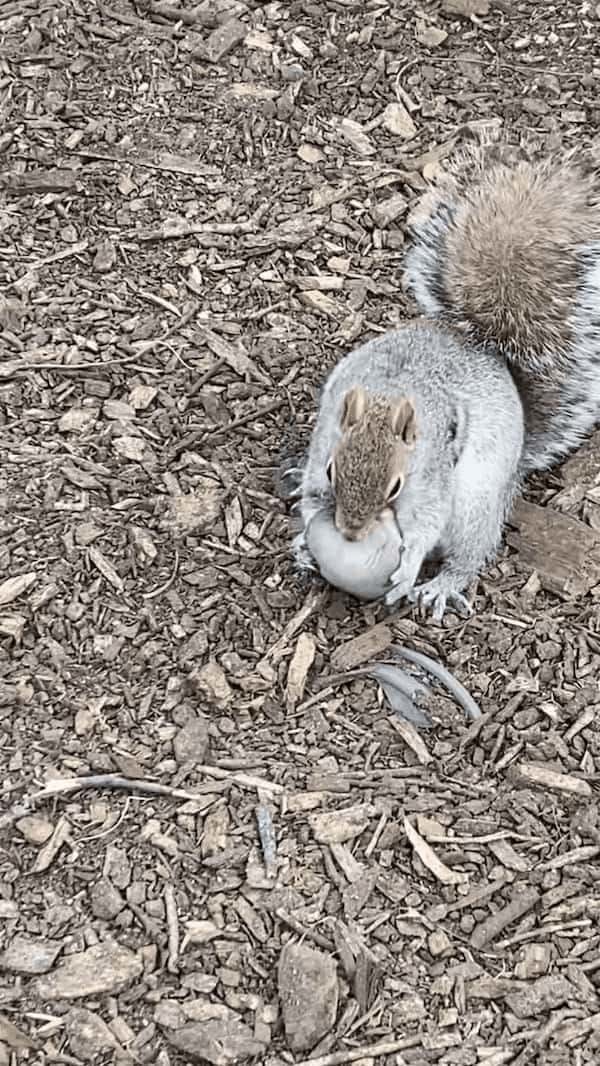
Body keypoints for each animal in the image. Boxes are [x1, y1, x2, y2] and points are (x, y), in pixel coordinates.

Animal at [298, 138, 600, 622]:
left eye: (396, 486)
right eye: (331, 468)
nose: (350, 532)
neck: (388, 393)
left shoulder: (433, 473)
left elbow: (426, 522)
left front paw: (408, 569)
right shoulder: (325, 435)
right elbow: (310, 492)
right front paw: (303, 541)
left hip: (476, 501)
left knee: (471, 552)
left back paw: (442, 584)